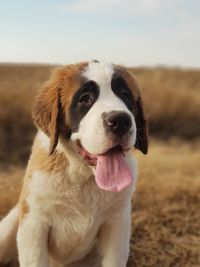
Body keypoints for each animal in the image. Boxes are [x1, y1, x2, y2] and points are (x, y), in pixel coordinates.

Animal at [0, 61, 147, 267]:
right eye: (85, 99)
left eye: (126, 97)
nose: (121, 120)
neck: (83, 176)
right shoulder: (33, 223)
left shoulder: (118, 223)